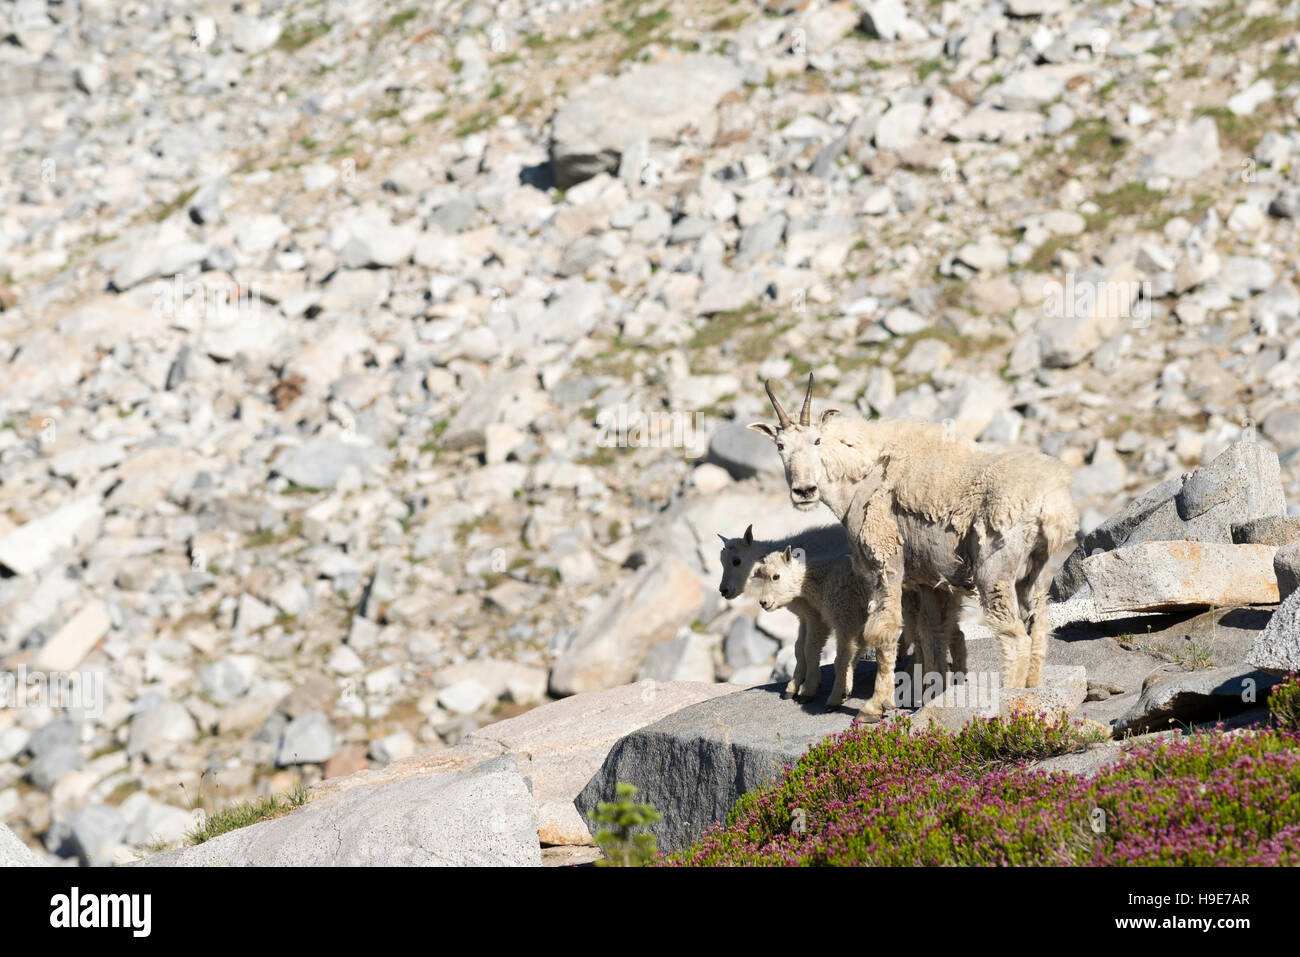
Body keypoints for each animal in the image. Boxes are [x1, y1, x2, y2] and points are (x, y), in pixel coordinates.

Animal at [754, 377, 1076, 712]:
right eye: (780, 446)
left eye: (817, 441)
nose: (804, 491)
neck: (862, 476)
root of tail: (1052, 505)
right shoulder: (927, 580)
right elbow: (932, 635)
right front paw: (934, 694)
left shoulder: (884, 560)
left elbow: (884, 630)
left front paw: (875, 705)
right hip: (1036, 572)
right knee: (1038, 626)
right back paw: (1034, 690)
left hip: (994, 571)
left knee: (1014, 637)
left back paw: (1009, 700)